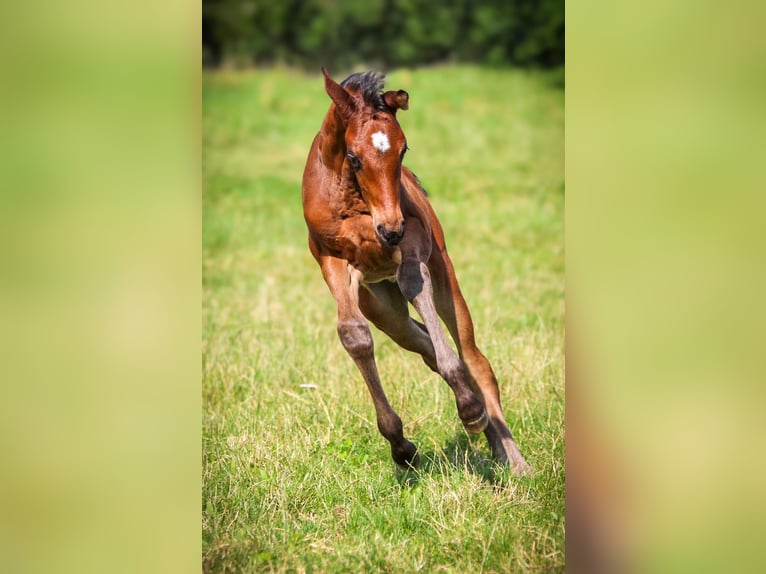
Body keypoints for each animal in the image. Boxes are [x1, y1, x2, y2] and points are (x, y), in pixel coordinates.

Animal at [302, 67, 536, 476]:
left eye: (403, 150)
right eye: (353, 156)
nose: (389, 229)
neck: (354, 202)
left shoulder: (411, 243)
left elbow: (415, 284)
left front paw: (470, 412)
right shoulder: (332, 259)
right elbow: (354, 336)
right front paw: (401, 447)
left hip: (443, 275)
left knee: (473, 358)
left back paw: (511, 455)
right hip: (383, 307)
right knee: (424, 343)